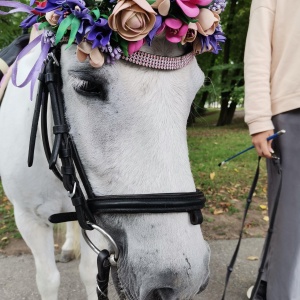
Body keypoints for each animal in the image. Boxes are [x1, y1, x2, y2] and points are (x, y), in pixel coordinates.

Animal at [0, 34, 211, 298]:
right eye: (87, 85)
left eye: (195, 90)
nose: (179, 283)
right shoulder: (29, 220)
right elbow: (48, 280)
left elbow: (90, 274)